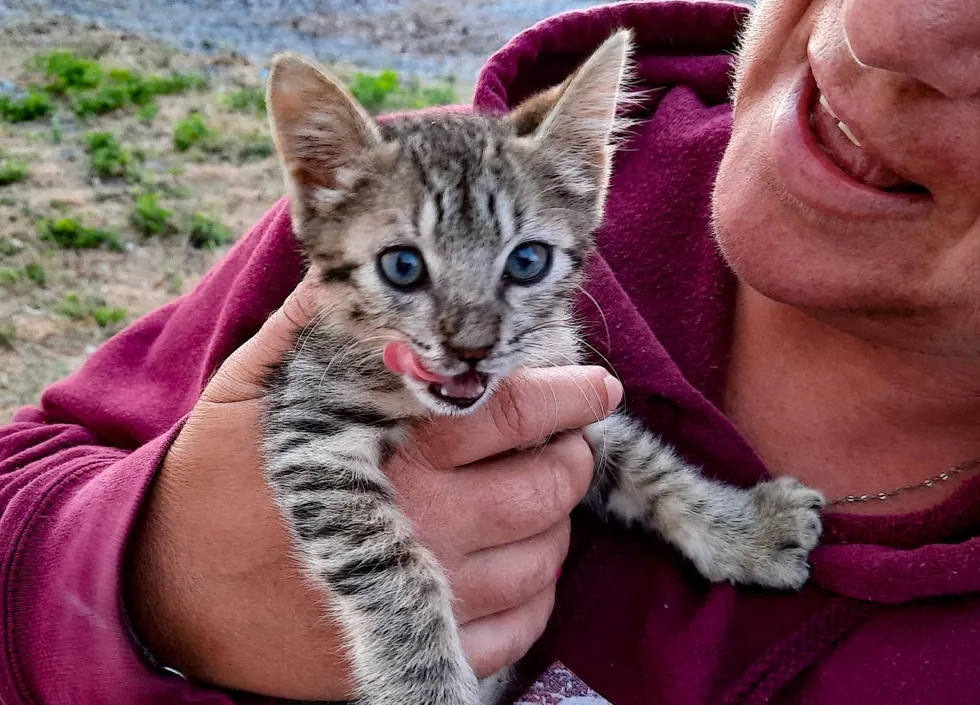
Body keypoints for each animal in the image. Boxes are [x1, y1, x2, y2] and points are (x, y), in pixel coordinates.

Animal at [262, 28, 828, 704]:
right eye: (402, 267)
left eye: (527, 261)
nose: (472, 348)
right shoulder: (309, 431)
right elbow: (392, 567)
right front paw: (427, 685)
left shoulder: (566, 390)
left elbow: (649, 464)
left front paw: (745, 531)